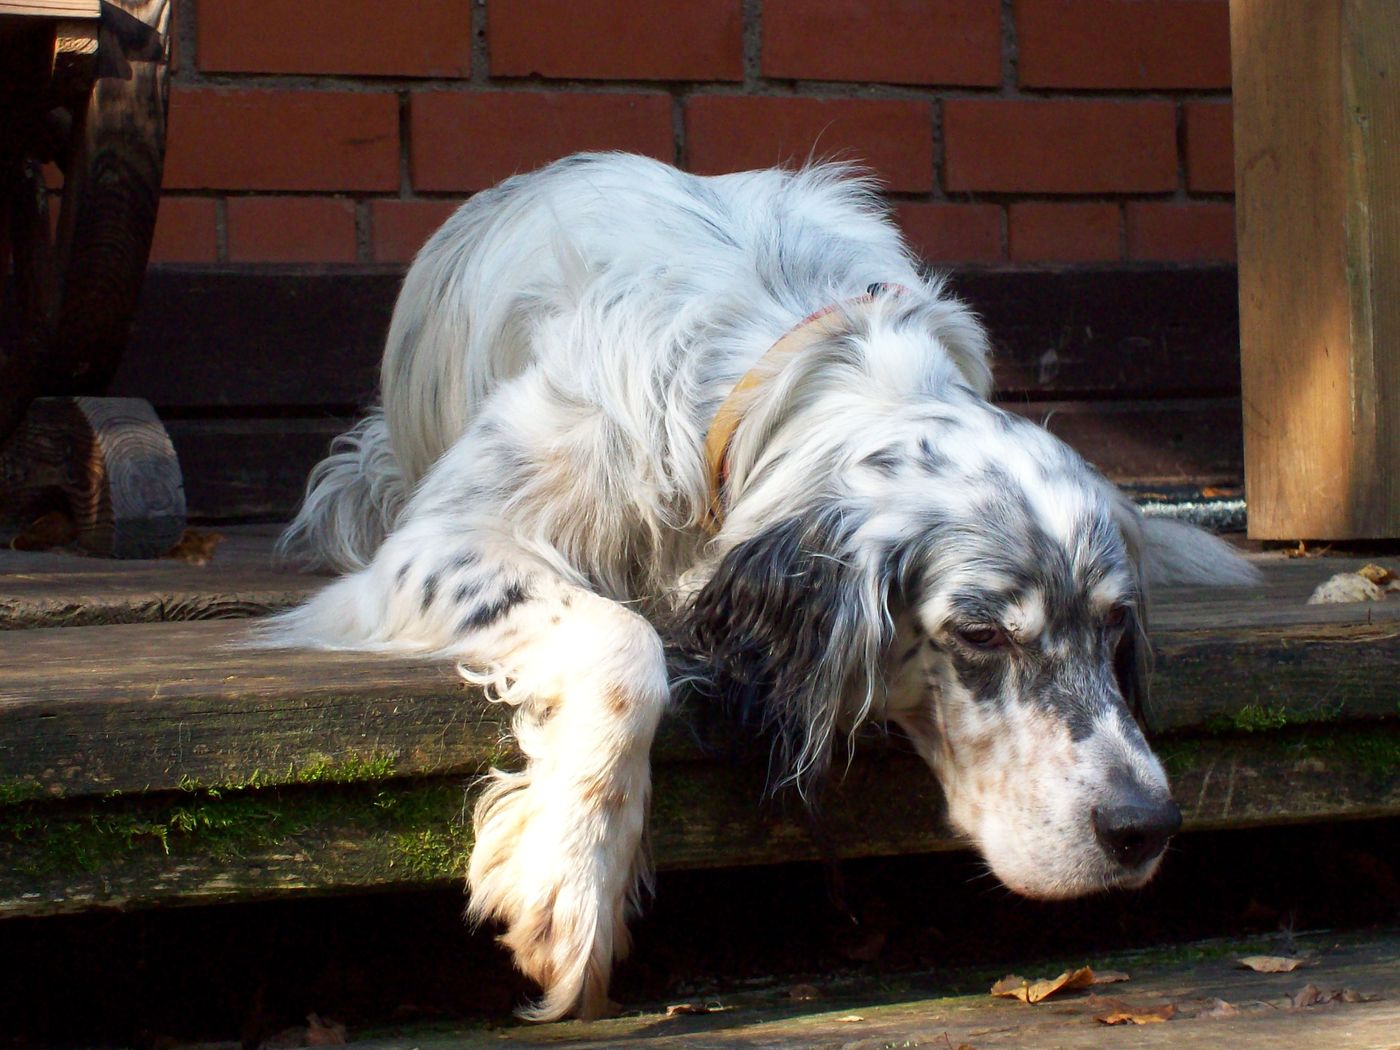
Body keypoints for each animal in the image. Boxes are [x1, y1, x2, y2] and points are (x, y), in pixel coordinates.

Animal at [263, 151, 1260, 1024]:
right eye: (980, 634)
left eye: (1115, 626)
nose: (1146, 827)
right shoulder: (439, 538)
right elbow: (626, 647)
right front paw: (575, 879)